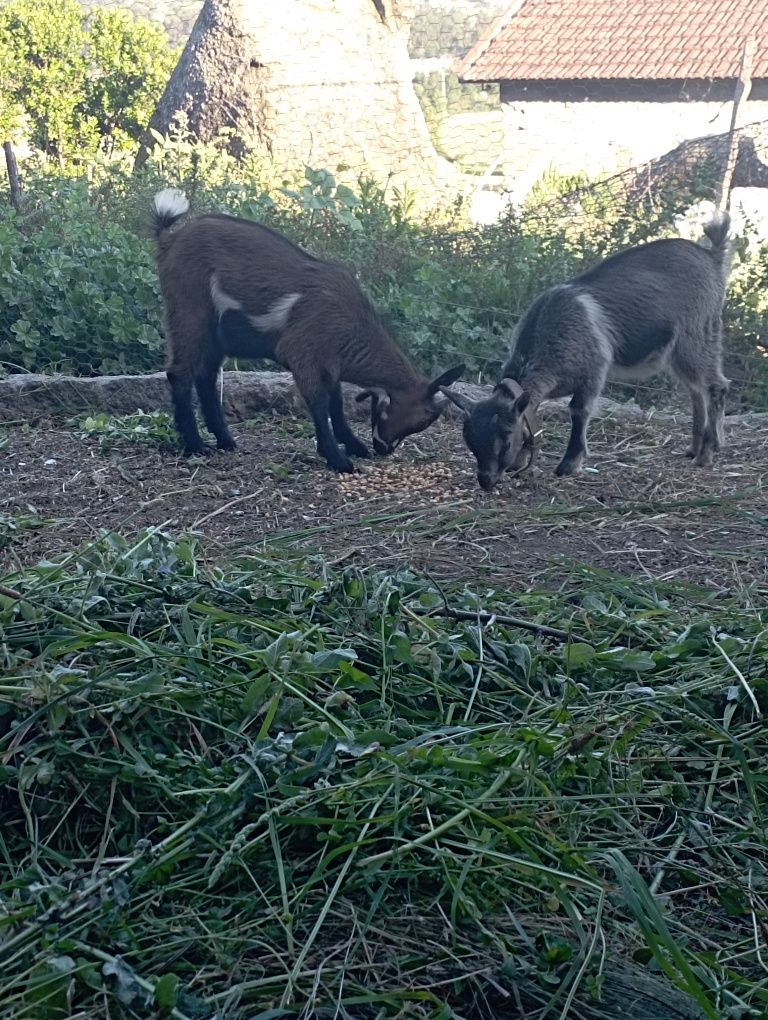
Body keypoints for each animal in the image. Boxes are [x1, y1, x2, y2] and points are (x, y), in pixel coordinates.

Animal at [147, 189, 461, 471]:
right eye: (424, 419)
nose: (384, 449)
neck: (350, 321)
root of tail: (171, 239)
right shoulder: (303, 354)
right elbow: (320, 405)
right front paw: (339, 460)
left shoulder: (329, 365)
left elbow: (336, 404)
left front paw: (355, 447)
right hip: (189, 313)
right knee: (180, 373)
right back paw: (196, 446)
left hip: (217, 337)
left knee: (206, 377)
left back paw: (226, 441)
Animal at [442, 213, 730, 491]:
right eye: (470, 440)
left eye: (506, 439)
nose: (486, 481)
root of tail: (713, 257)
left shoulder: (594, 370)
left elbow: (578, 411)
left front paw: (569, 464)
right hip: (679, 350)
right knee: (695, 390)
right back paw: (694, 448)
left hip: (697, 333)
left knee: (715, 385)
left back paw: (707, 454)